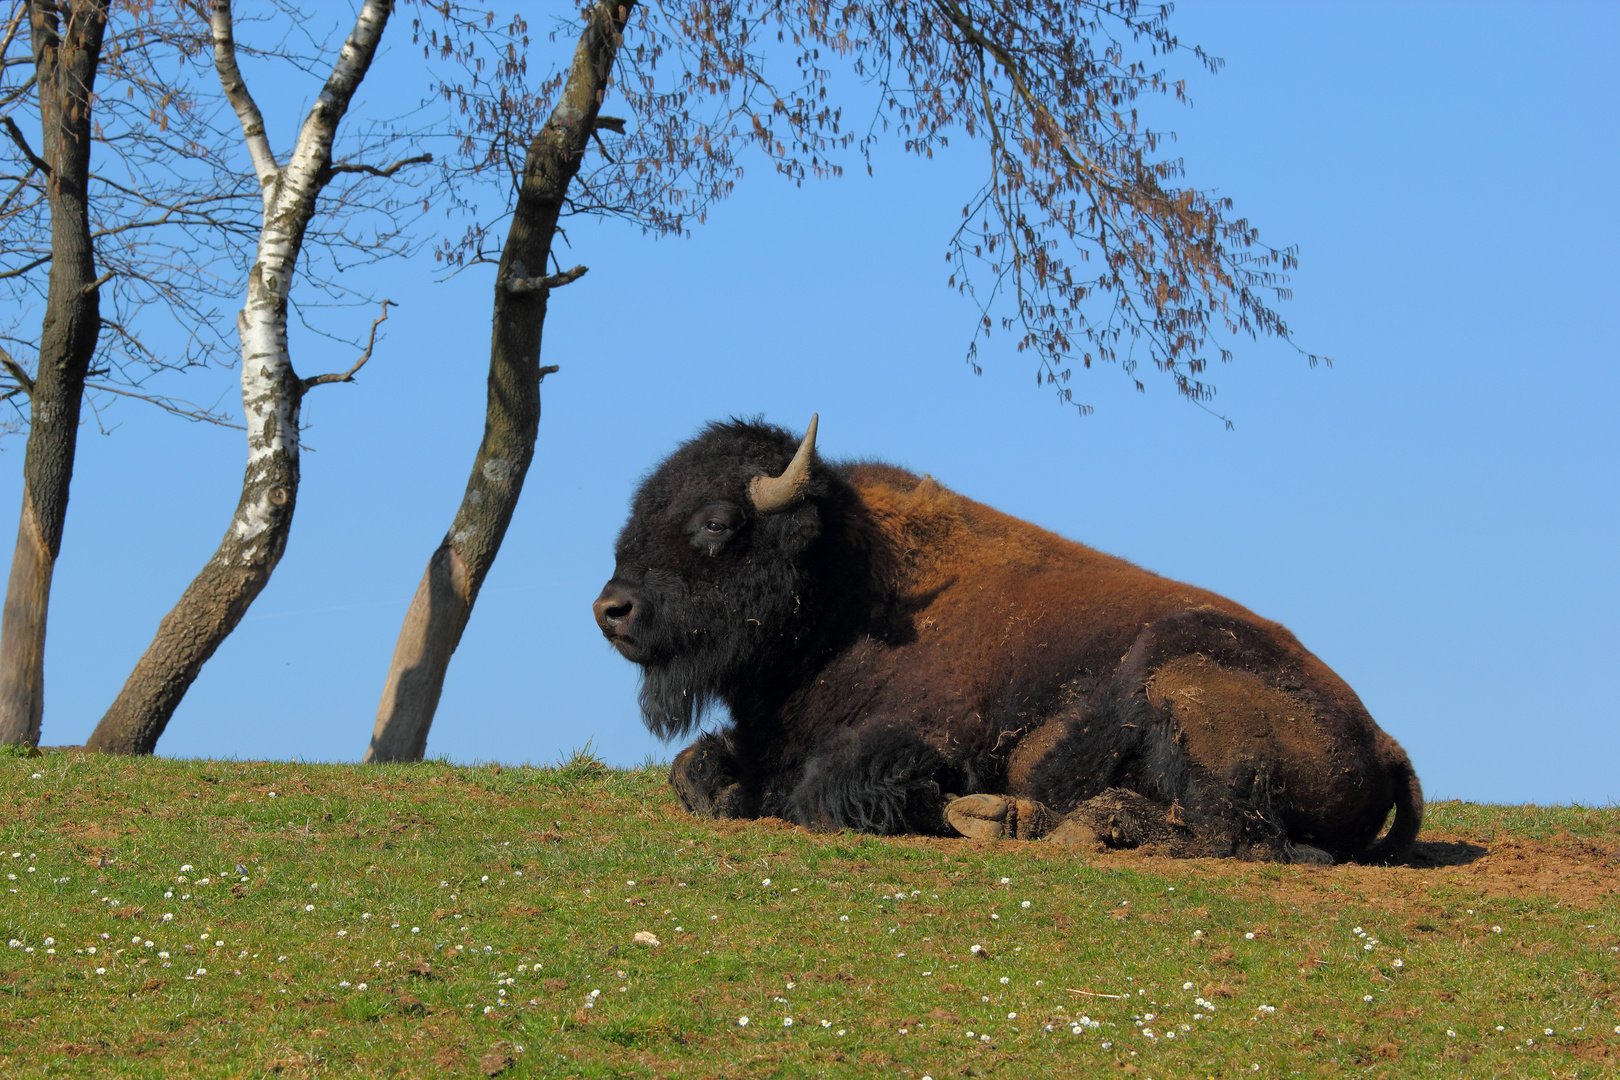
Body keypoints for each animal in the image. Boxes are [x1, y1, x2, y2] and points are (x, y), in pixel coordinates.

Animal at [596, 417, 1419, 867]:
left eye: (716, 523)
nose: (612, 609)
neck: (848, 587)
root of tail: (1384, 743)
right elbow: (694, 768)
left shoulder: (924, 741)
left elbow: (832, 791)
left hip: (1179, 682)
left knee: (1235, 834)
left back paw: (1038, 823)